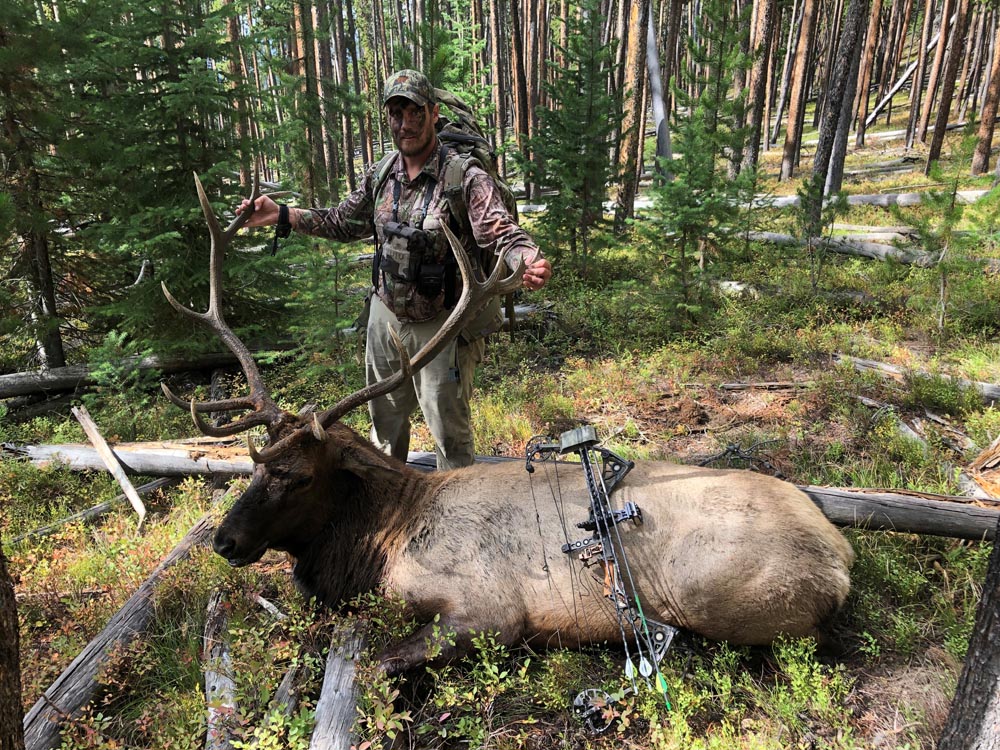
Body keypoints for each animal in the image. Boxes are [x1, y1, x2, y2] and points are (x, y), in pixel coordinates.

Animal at [162, 175, 855, 676]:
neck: (382, 540)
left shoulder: (488, 611)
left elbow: (380, 664)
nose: (224, 541)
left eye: (301, 476)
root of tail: (841, 555)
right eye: (254, 466)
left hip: (719, 594)